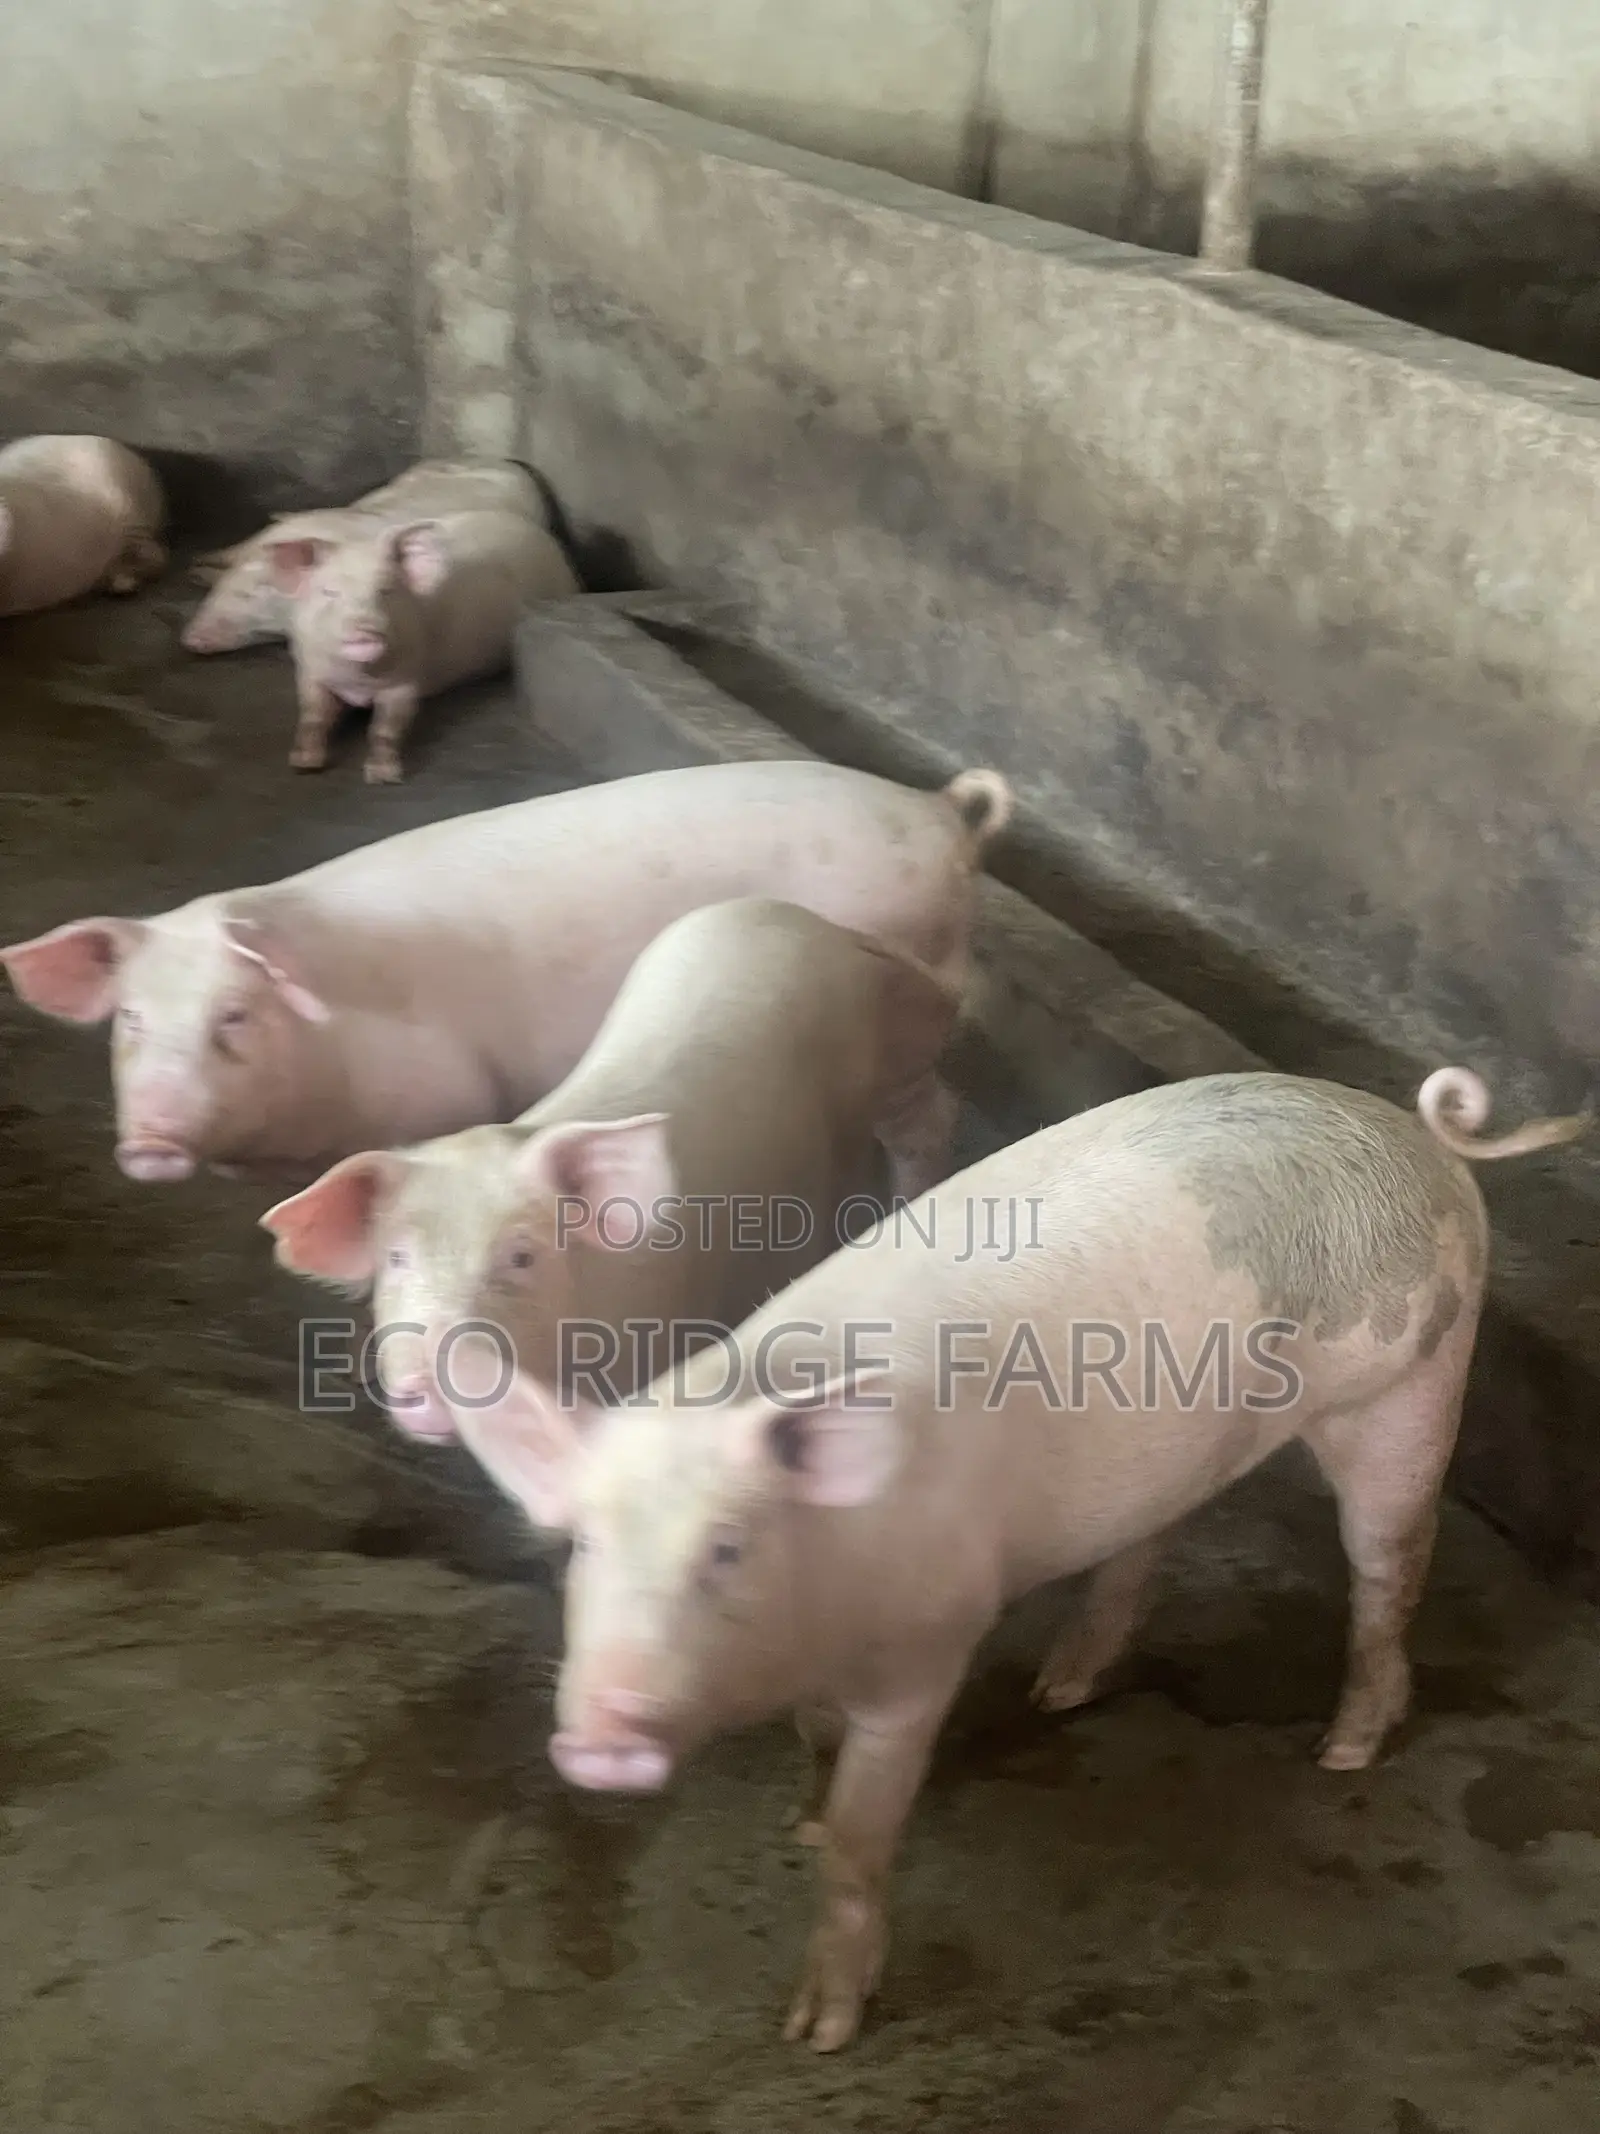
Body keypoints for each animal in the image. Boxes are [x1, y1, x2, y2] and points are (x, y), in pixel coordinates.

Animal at [0, 756, 1012, 1189]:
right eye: (131, 1020)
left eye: (235, 1015)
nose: (151, 1140)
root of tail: (941, 814)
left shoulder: (443, 1096)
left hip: (903, 1000)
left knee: (935, 1117)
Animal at [258, 899, 962, 1443]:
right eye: (397, 1258)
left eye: (522, 1257)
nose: (426, 1384)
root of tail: (827, 930)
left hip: (889, 1078)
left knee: (927, 1124)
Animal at [261, 506, 580, 782]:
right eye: (329, 592)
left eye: (386, 590)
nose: (365, 626)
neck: (359, 681)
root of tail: (545, 538)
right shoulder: (309, 672)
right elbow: (313, 716)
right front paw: (304, 765)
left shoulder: (406, 679)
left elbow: (386, 726)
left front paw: (383, 778)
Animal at [457, 1063, 1587, 2049]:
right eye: (584, 1543)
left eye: (727, 1545)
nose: (602, 1732)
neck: (824, 1605)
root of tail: (1417, 1134)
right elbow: (814, 1745)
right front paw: (801, 1824)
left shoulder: (930, 1643)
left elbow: (867, 1839)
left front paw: (817, 2031)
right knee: (1154, 1536)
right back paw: (1063, 1689)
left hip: (1409, 1385)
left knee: (1388, 1563)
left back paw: (1344, 1748)